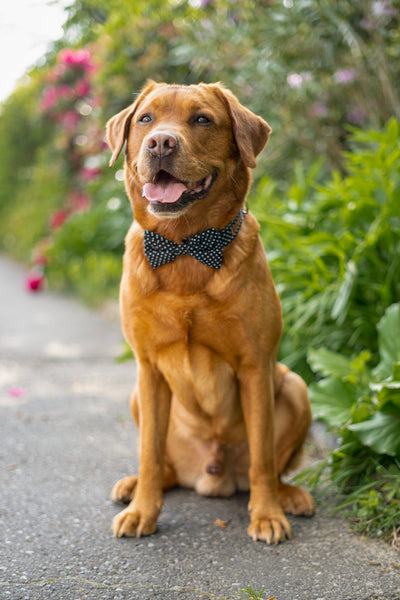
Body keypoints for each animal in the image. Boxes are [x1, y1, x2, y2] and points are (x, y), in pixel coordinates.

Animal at [106, 79, 316, 544]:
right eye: (145, 119)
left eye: (202, 119)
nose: (160, 143)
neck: (185, 248)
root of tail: (211, 474)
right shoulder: (147, 368)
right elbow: (149, 453)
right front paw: (143, 511)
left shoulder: (255, 366)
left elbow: (263, 455)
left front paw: (267, 515)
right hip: (138, 396)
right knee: (163, 464)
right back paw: (134, 487)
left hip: (294, 386)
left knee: (271, 466)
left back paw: (287, 495)